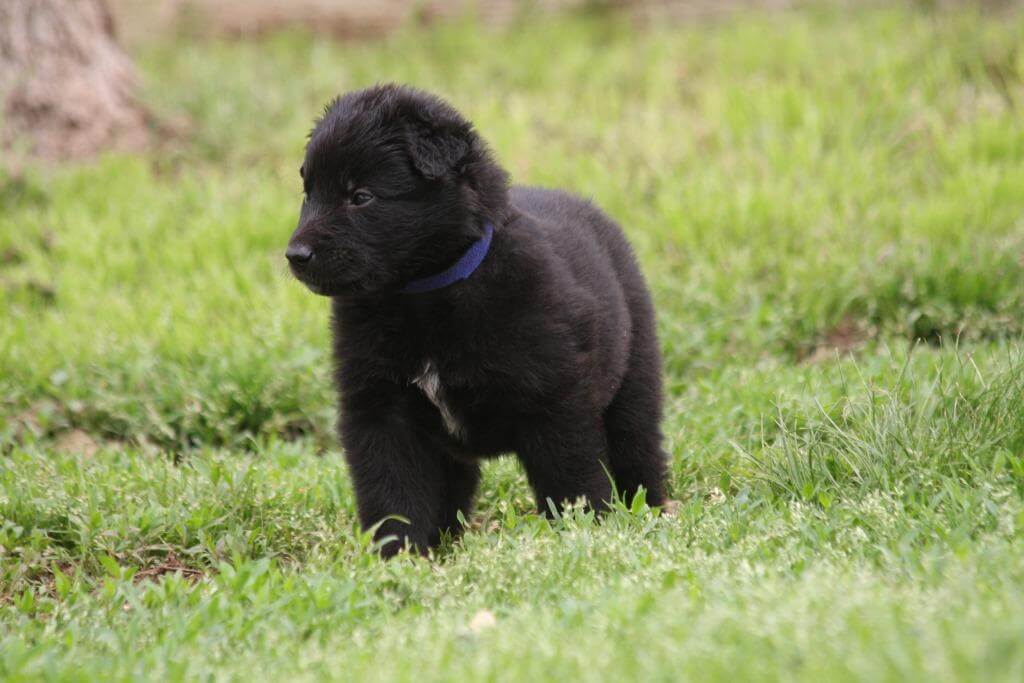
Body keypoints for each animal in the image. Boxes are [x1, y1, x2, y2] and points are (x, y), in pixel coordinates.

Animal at [292, 85, 667, 557]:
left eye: (361, 196)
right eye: (308, 192)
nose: (295, 255)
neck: (421, 297)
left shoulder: (555, 400)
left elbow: (571, 477)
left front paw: (584, 534)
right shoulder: (380, 409)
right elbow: (392, 491)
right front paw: (398, 555)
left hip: (633, 381)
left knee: (639, 451)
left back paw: (654, 511)